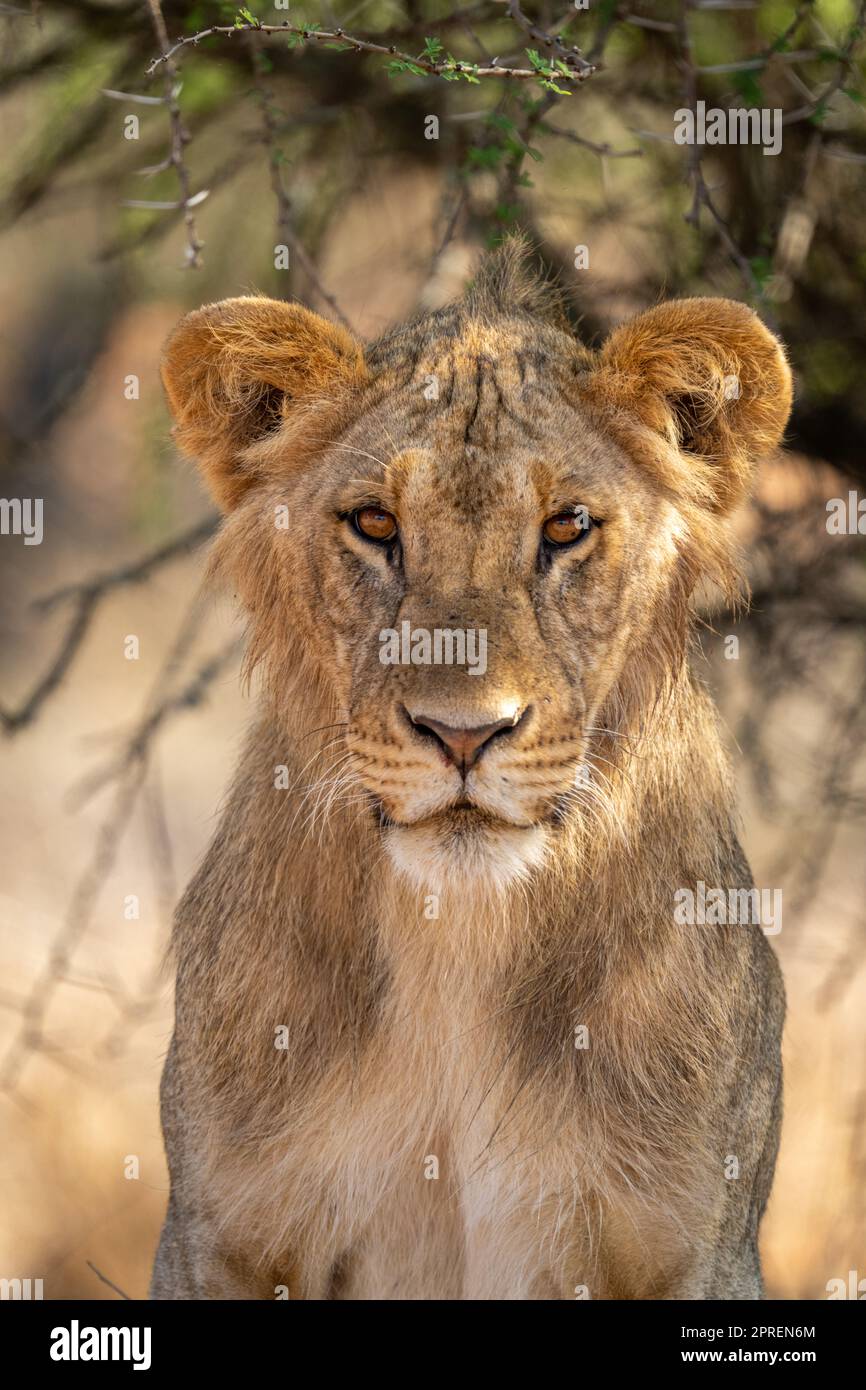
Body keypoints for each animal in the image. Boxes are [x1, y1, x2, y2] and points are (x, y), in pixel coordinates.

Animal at [150, 239, 790, 1300]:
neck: (457, 939)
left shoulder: (695, 1248)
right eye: (374, 523)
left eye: (567, 526)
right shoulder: (221, 1239)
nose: (461, 735)